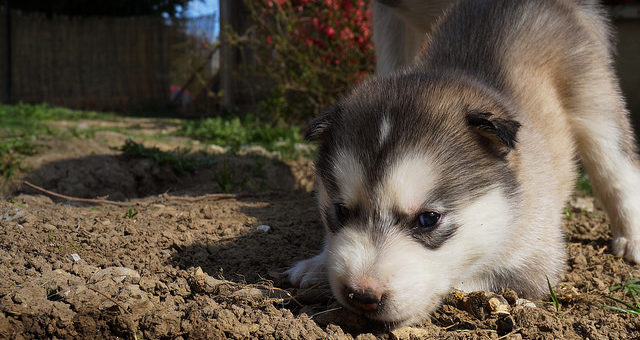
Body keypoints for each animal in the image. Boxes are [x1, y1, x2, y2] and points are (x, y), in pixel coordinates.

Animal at [288, 0, 640, 326]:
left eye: (428, 219)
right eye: (341, 210)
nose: (362, 294)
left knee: (616, 171)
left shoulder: (537, 261)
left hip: (595, 108)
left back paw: (632, 237)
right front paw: (317, 264)